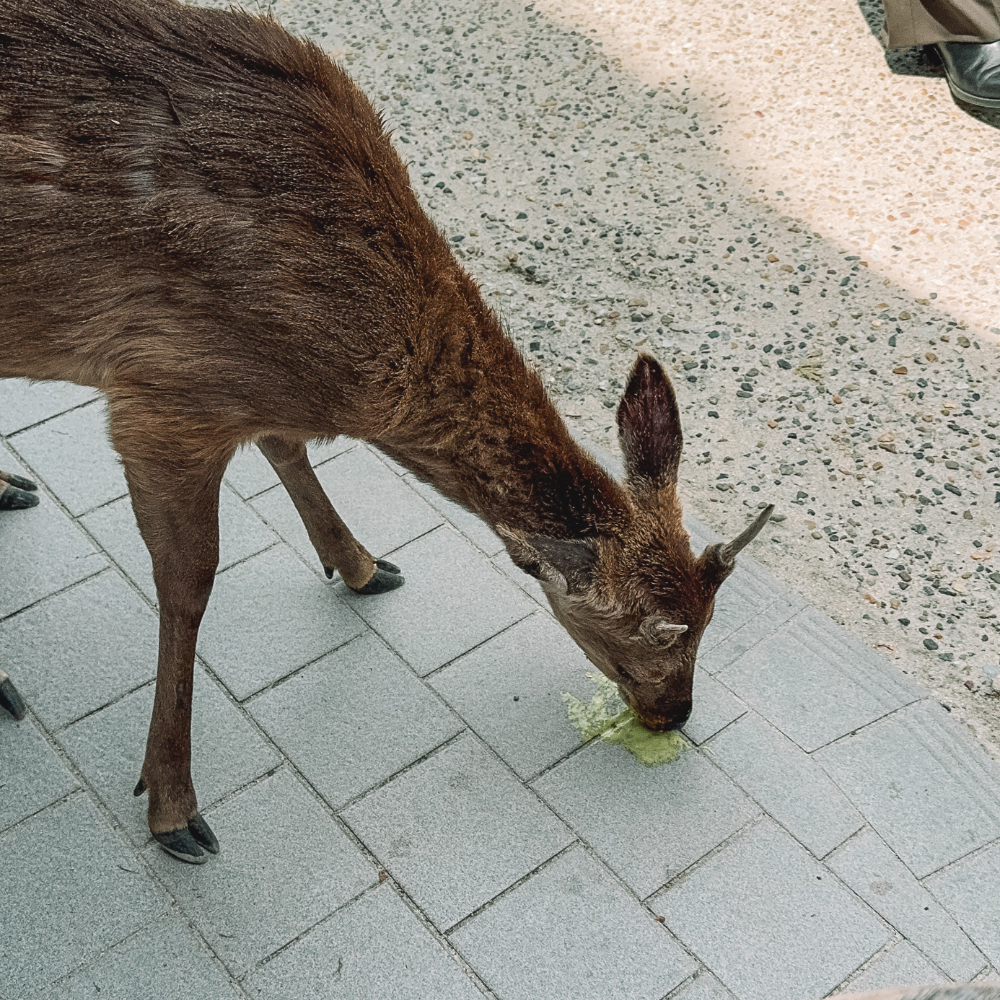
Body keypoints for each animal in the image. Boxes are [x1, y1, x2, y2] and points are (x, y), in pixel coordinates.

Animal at [0, 0, 772, 864]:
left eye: (711, 620)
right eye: (660, 633)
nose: (675, 715)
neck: (365, 365)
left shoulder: (248, 399)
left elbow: (286, 446)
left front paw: (364, 565)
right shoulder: (166, 395)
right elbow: (190, 582)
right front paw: (173, 806)